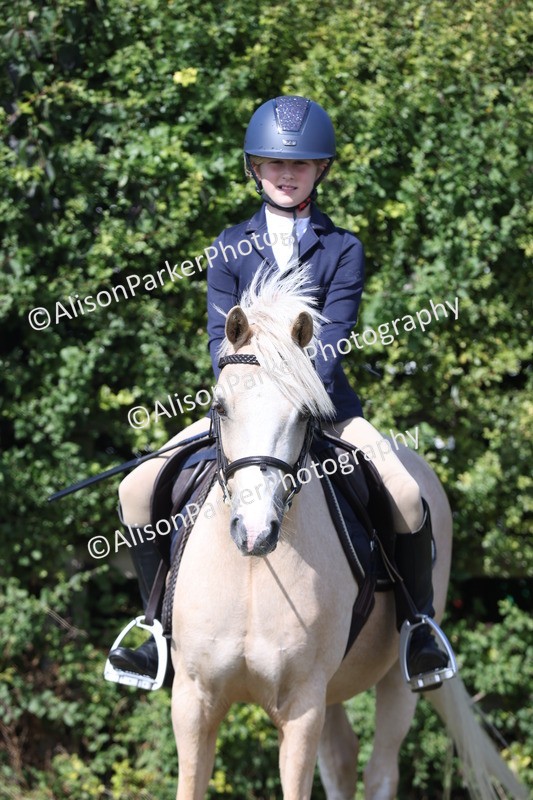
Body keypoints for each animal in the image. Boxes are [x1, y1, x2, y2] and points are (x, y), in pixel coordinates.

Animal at [169, 269, 527, 800]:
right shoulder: (194, 700)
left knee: (381, 770)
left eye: (304, 415)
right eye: (221, 407)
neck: (253, 572)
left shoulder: (302, 705)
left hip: (396, 677)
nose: (256, 533)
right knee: (341, 759)